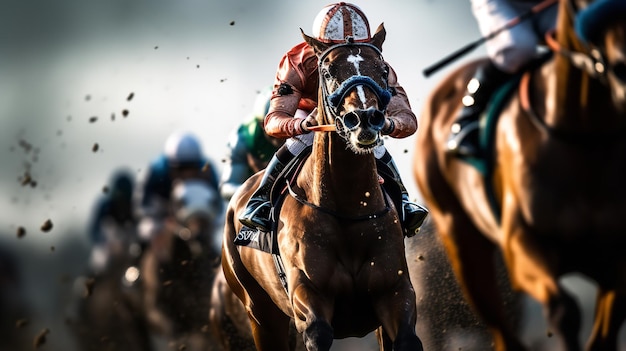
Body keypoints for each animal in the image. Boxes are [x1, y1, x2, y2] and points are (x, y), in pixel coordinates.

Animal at [410, 0, 624, 350]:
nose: (622, 68)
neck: (583, 139)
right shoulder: (519, 245)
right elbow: (563, 310)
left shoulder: (617, 266)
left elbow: (601, 336)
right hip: (462, 243)